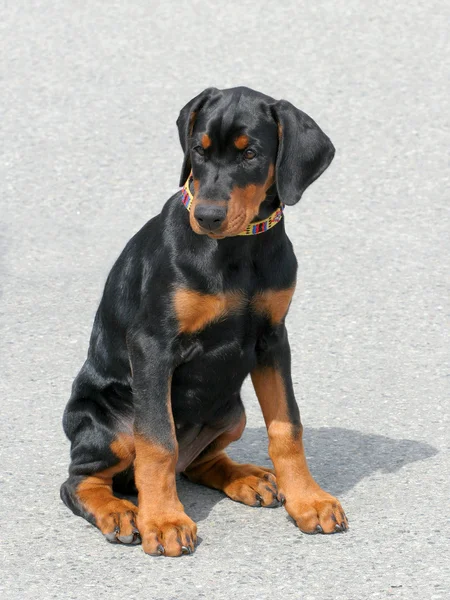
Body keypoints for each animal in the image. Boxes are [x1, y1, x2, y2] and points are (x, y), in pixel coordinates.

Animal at [60, 85, 348, 556]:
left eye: (250, 154)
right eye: (198, 150)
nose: (207, 216)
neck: (238, 249)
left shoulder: (273, 339)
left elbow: (287, 426)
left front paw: (309, 500)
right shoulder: (153, 344)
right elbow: (158, 441)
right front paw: (164, 521)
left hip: (232, 413)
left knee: (195, 463)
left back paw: (247, 478)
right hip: (108, 422)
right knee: (82, 480)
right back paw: (121, 512)